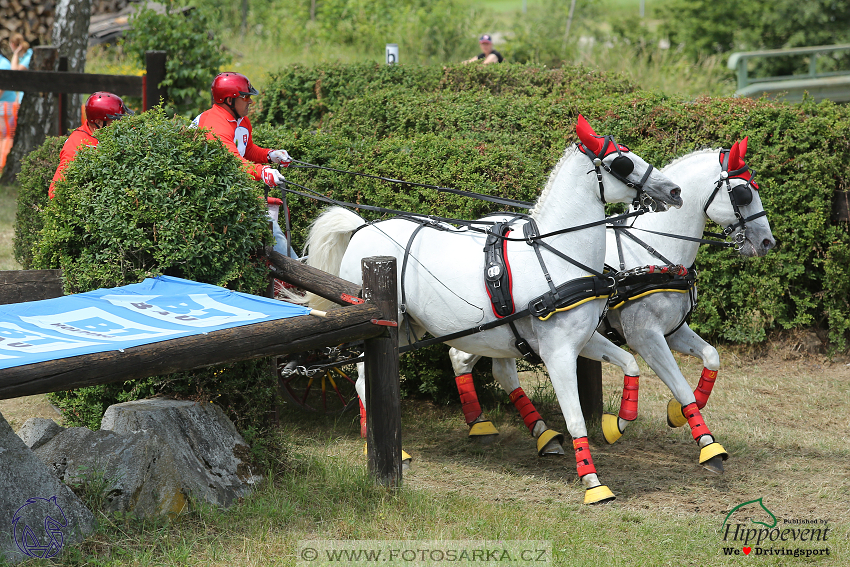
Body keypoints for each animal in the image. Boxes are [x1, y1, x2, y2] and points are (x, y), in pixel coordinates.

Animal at [302, 116, 680, 506]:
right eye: (623, 162)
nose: (674, 190)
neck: (555, 255)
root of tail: (362, 227)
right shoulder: (558, 353)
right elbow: (575, 418)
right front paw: (593, 482)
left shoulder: (582, 341)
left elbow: (630, 363)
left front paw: (618, 423)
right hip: (381, 328)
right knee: (365, 382)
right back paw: (385, 447)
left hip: (410, 329)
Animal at [450, 136, 776, 474]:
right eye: (744, 192)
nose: (768, 242)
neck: (653, 251)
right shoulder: (645, 336)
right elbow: (680, 385)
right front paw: (709, 447)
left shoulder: (673, 331)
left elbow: (712, 357)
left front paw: (676, 413)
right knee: (464, 358)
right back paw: (487, 425)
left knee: (490, 366)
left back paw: (536, 433)